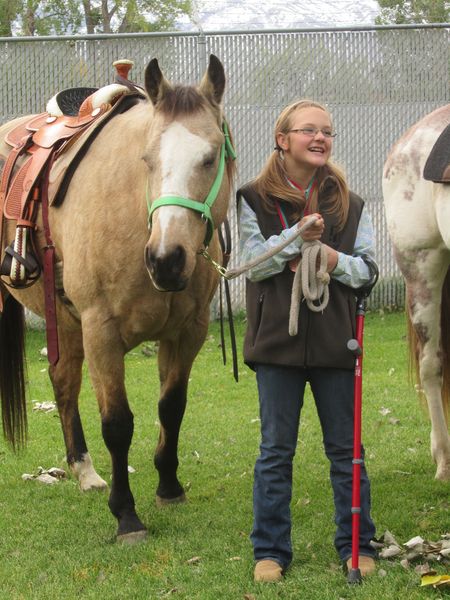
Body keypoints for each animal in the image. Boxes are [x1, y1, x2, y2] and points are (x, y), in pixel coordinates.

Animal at [0, 56, 236, 540]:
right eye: (147, 159)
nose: (166, 260)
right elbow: (117, 423)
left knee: (63, 383)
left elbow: (171, 406)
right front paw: (126, 515)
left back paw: (85, 471)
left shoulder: (188, 331)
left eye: (210, 157)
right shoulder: (101, 331)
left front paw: (169, 487)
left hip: (65, 321)